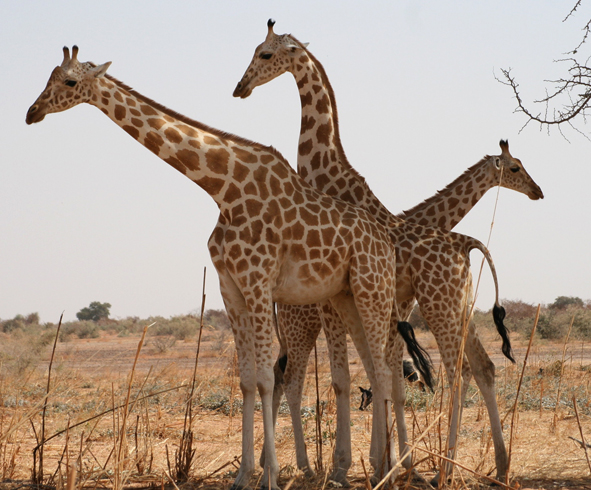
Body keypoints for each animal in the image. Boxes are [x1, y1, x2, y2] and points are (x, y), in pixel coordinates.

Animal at [23, 44, 408, 488]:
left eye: (69, 81)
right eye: (48, 76)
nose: (32, 112)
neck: (223, 187)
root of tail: (386, 242)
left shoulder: (258, 283)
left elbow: (265, 377)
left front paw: (270, 475)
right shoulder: (231, 289)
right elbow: (246, 380)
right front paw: (243, 474)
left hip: (372, 291)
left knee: (384, 371)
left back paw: (389, 469)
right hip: (346, 297)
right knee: (375, 370)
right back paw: (377, 466)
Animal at [231, 20, 540, 486]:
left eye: (265, 55)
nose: (240, 88)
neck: (328, 175)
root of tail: (466, 243)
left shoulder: (369, 305)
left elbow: (372, 377)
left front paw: (370, 464)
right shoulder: (363, 305)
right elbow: (372, 378)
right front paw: (375, 463)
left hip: (436, 308)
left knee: (464, 370)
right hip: (333, 319)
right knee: (293, 379)